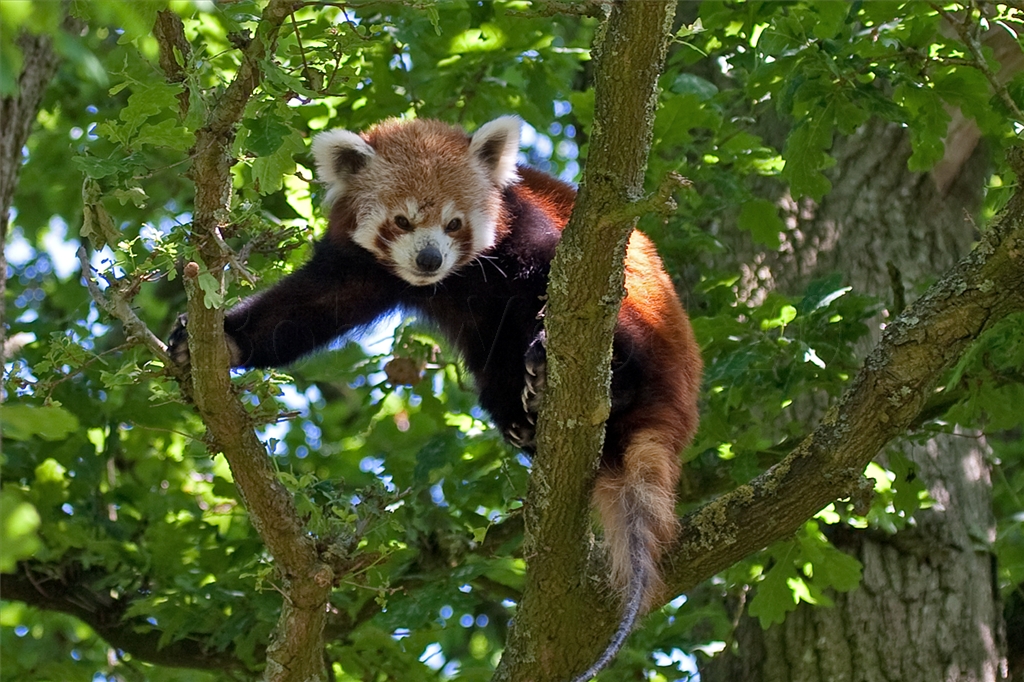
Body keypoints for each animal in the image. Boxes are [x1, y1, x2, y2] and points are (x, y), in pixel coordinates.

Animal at [169, 116, 702, 681]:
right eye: (402, 221)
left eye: (454, 224)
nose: (429, 258)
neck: (454, 280)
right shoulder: (357, 267)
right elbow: (304, 311)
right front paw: (222, 340)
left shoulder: (536, 231)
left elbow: (557, 286)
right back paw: (524, 423)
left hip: (651, 330)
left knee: (616, 332)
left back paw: (578, 379)